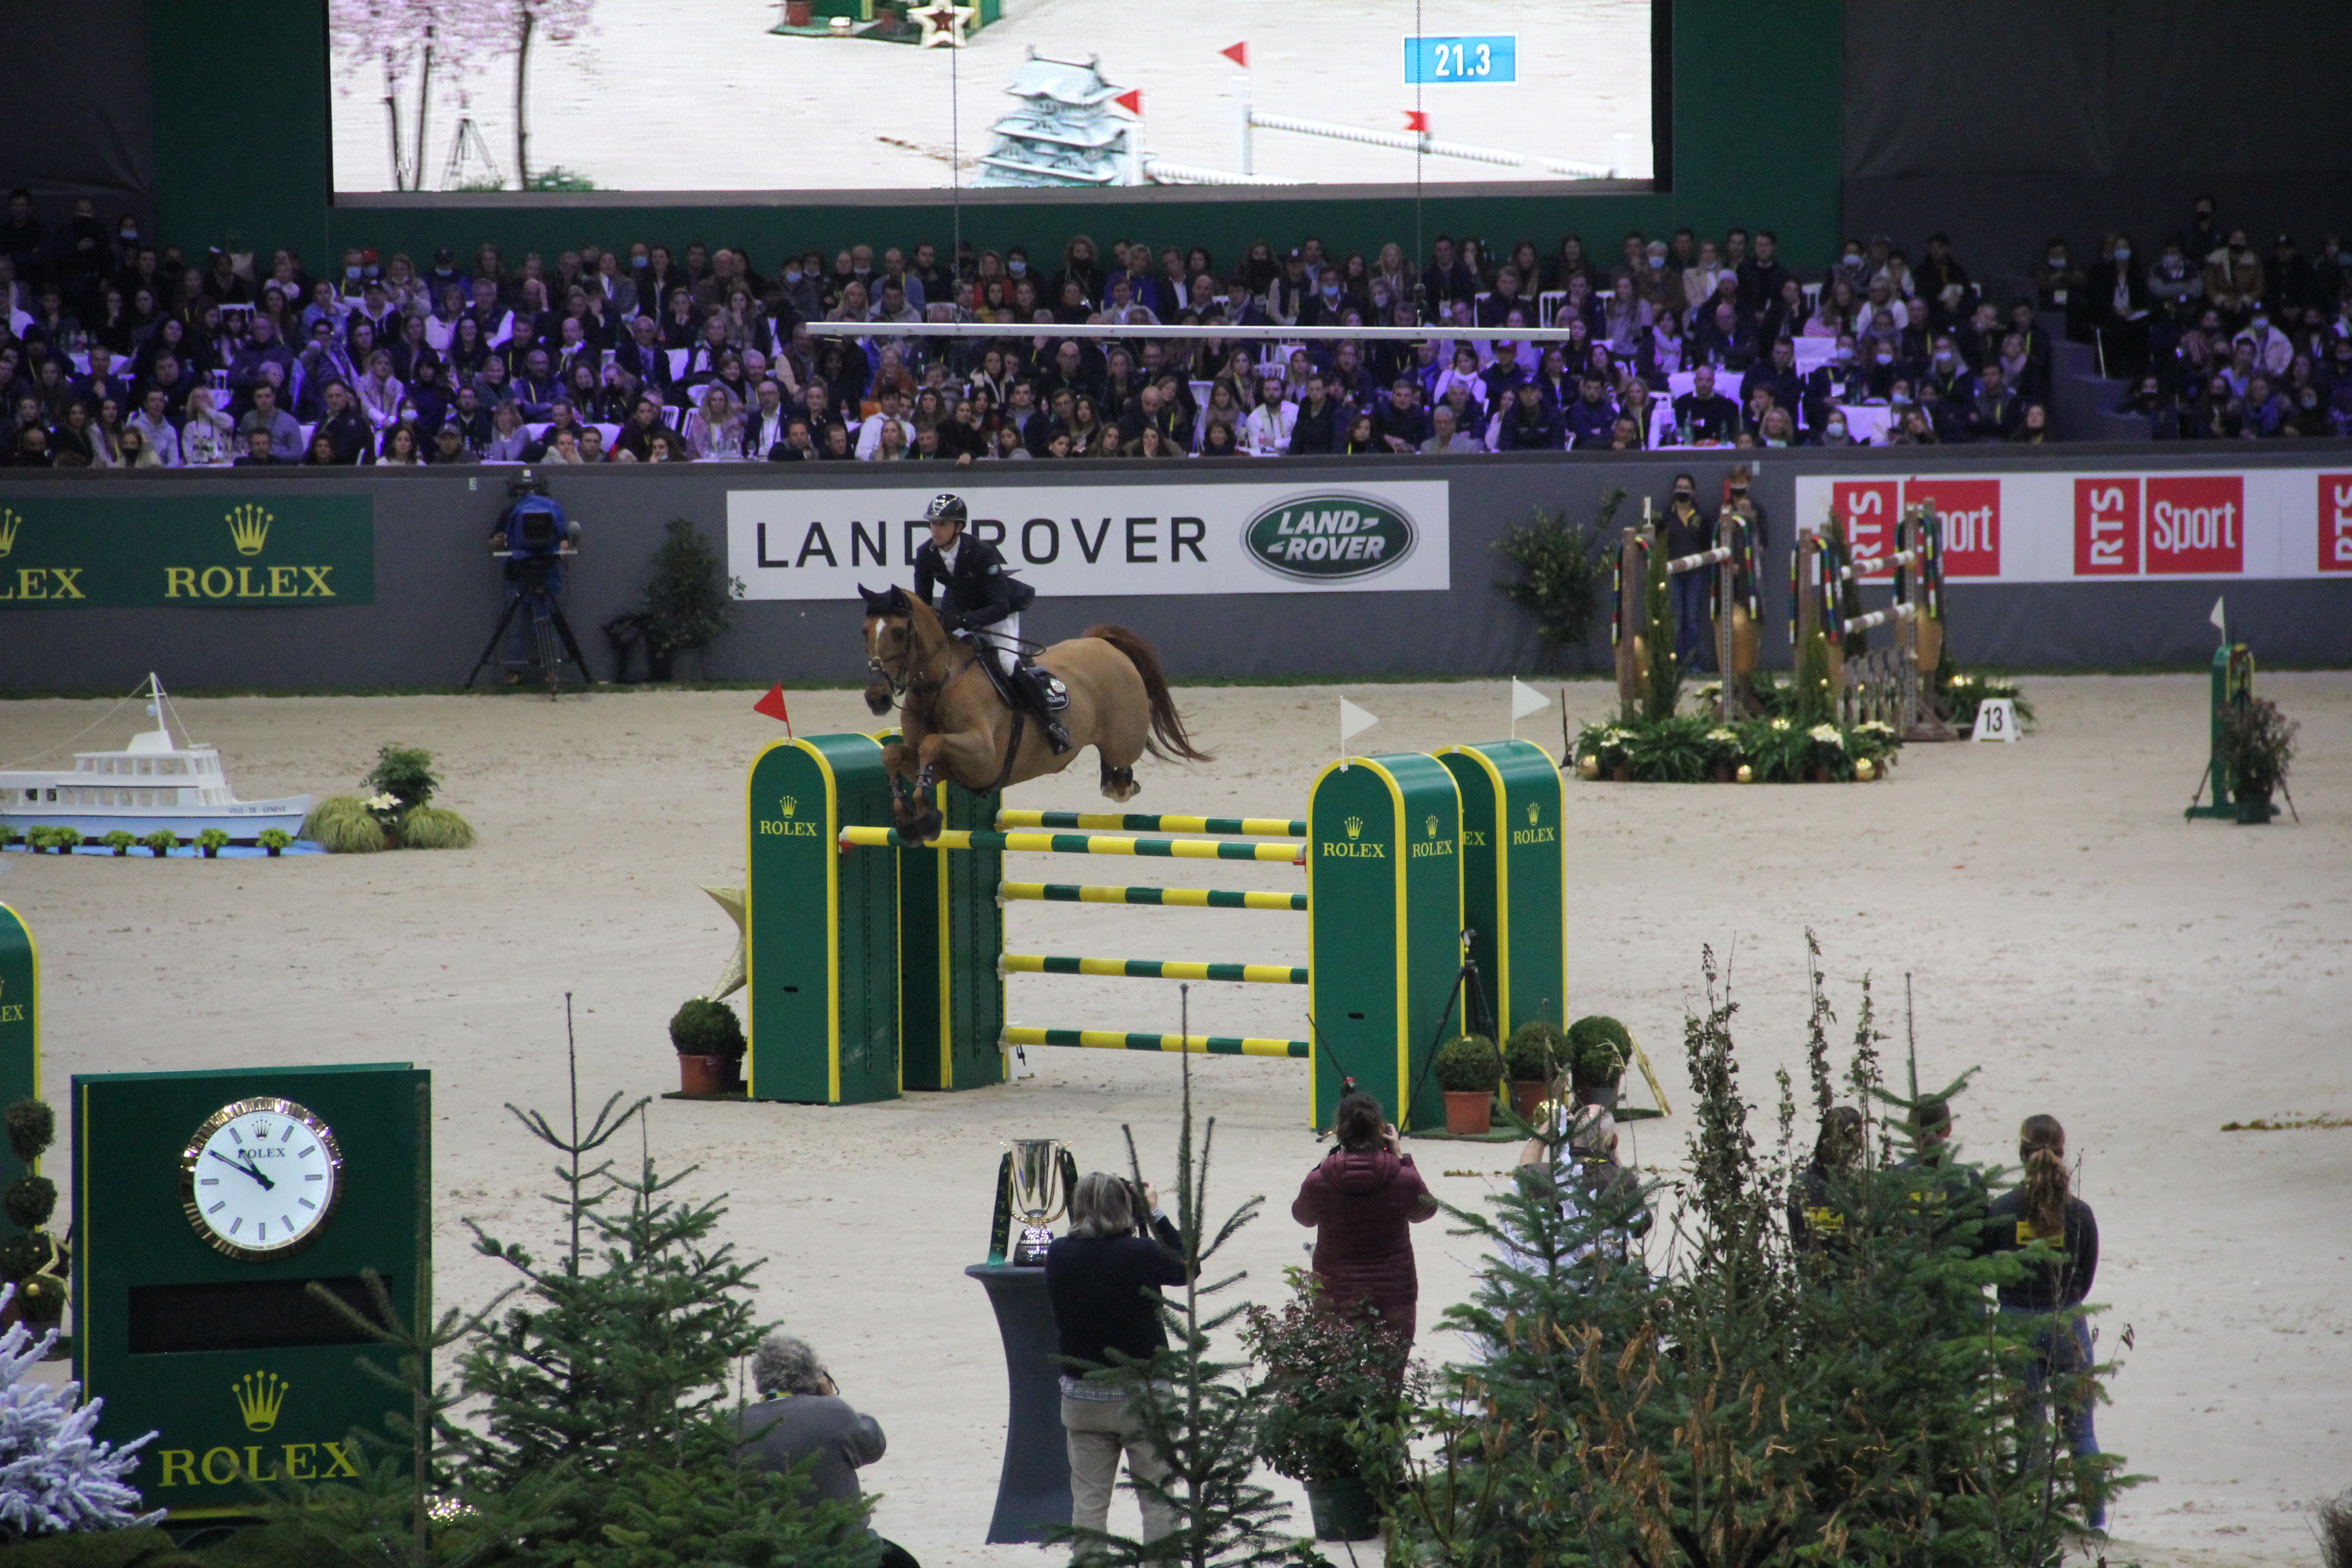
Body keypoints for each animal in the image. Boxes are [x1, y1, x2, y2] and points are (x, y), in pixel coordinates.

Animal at [855, 583, 1213, 841]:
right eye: (864, 631)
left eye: (899, 632)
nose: (876, 698)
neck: (940, 683)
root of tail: (1102, 644)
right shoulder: (943, 768)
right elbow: (893, 755)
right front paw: (908, 821)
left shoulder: (983, 755)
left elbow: (932, 744)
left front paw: (927, 820)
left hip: (1125, 737)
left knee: (1125, 757)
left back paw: (1120, 785)